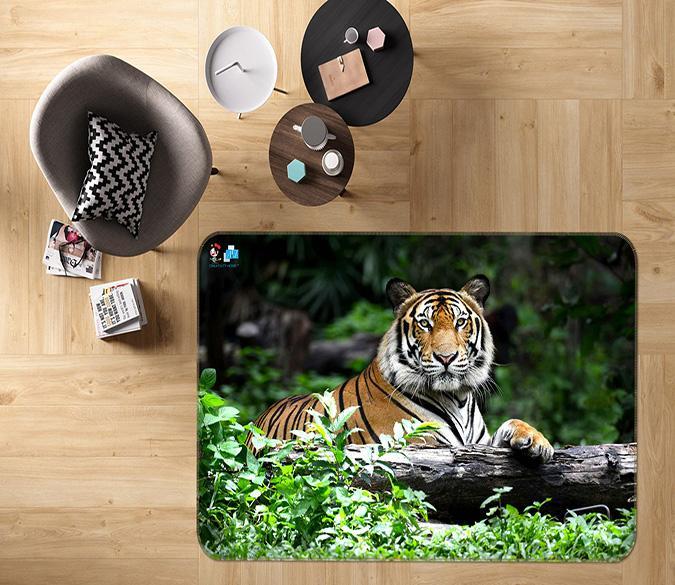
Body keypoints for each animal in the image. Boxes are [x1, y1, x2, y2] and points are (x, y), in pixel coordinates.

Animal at [254, 275, 554, 462]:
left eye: (460, 322)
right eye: (425, 324)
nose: (446, 357)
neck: (457, 398)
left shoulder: (478, 444)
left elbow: (511, 423)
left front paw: (536, 441)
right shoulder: (418, 443)